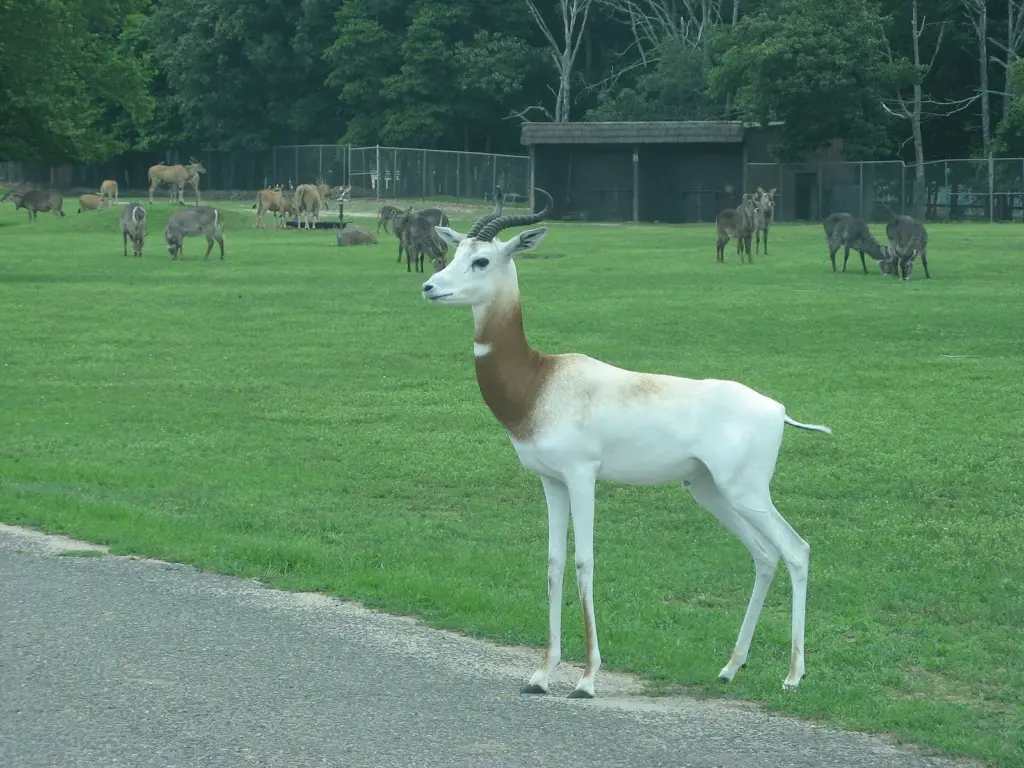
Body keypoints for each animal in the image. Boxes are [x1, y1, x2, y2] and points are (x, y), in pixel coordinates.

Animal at [421, 188, 831, 699]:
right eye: (454, 251)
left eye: (480, 260)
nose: (429, 287)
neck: (539, 381)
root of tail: (776, 409)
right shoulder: (551, 482)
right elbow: (554, 563)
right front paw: (541, 674)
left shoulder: (582, 477)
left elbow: (584, 561)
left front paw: (587, 679)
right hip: (710, 491)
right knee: (764, 554)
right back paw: (730, 667)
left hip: (748, 492)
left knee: (796, 551)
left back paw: (793, 675)